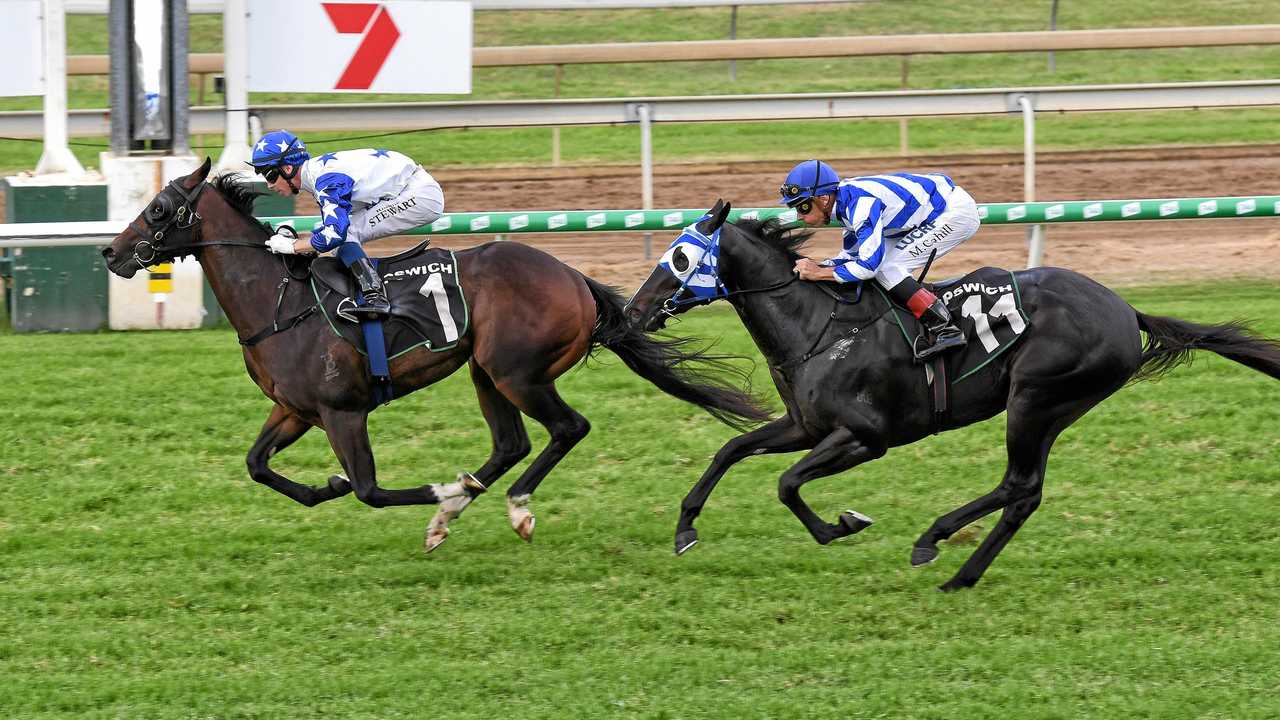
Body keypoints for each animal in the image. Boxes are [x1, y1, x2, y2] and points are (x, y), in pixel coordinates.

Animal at [102, 158, 768, 548]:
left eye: (159, 209)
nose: (111, 252)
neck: (277, 301)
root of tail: (574, 278)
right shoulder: (295, 409)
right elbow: (258, 465)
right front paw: (328, 488)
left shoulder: (343, 412)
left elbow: (369, 489)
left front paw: (432, 492)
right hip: (484, 371)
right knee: (512, 443)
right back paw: (460, 507)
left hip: (518, 372)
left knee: (567, 428)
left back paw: (507, 506)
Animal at [624, 199, 1280, 589]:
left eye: (679, 257)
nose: (631, 312)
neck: (817, 325)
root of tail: (1125, 309)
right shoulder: (805, 426)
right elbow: (729, 453)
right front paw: (685, 530)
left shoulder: (865, 437)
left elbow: (787, 484)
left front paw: (842, 525)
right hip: (1051, 406)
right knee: (1024, 494)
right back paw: (961, 574)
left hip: (1036, 398)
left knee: (1019, 484)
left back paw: (933, 542)